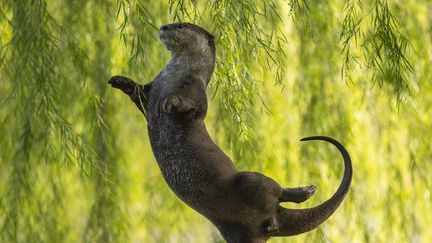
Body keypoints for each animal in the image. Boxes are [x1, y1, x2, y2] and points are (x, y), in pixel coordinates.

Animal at [108, 22, 352, 241]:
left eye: (180, 26)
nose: (163, 27)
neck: (175, 75)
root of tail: (272, 222)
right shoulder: (152, 88)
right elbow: (138, 93)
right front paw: (120, 80)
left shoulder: (197, 93)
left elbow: (189, 107)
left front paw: (169, 102)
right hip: (234, 231)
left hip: (249, 180)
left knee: (277, 190)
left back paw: (307, 190)